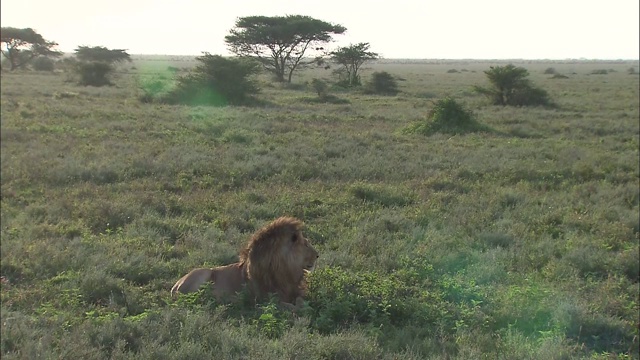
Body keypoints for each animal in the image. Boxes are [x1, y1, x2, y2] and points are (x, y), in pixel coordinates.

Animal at [171, 217, 318, 310]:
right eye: (306, 244)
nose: (317, 255)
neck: (286, 268)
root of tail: (175, 286)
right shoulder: (266, 299)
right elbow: (288, 306)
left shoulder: (294, 289)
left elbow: (300, 299)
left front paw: (305, 305)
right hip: (204, 272)